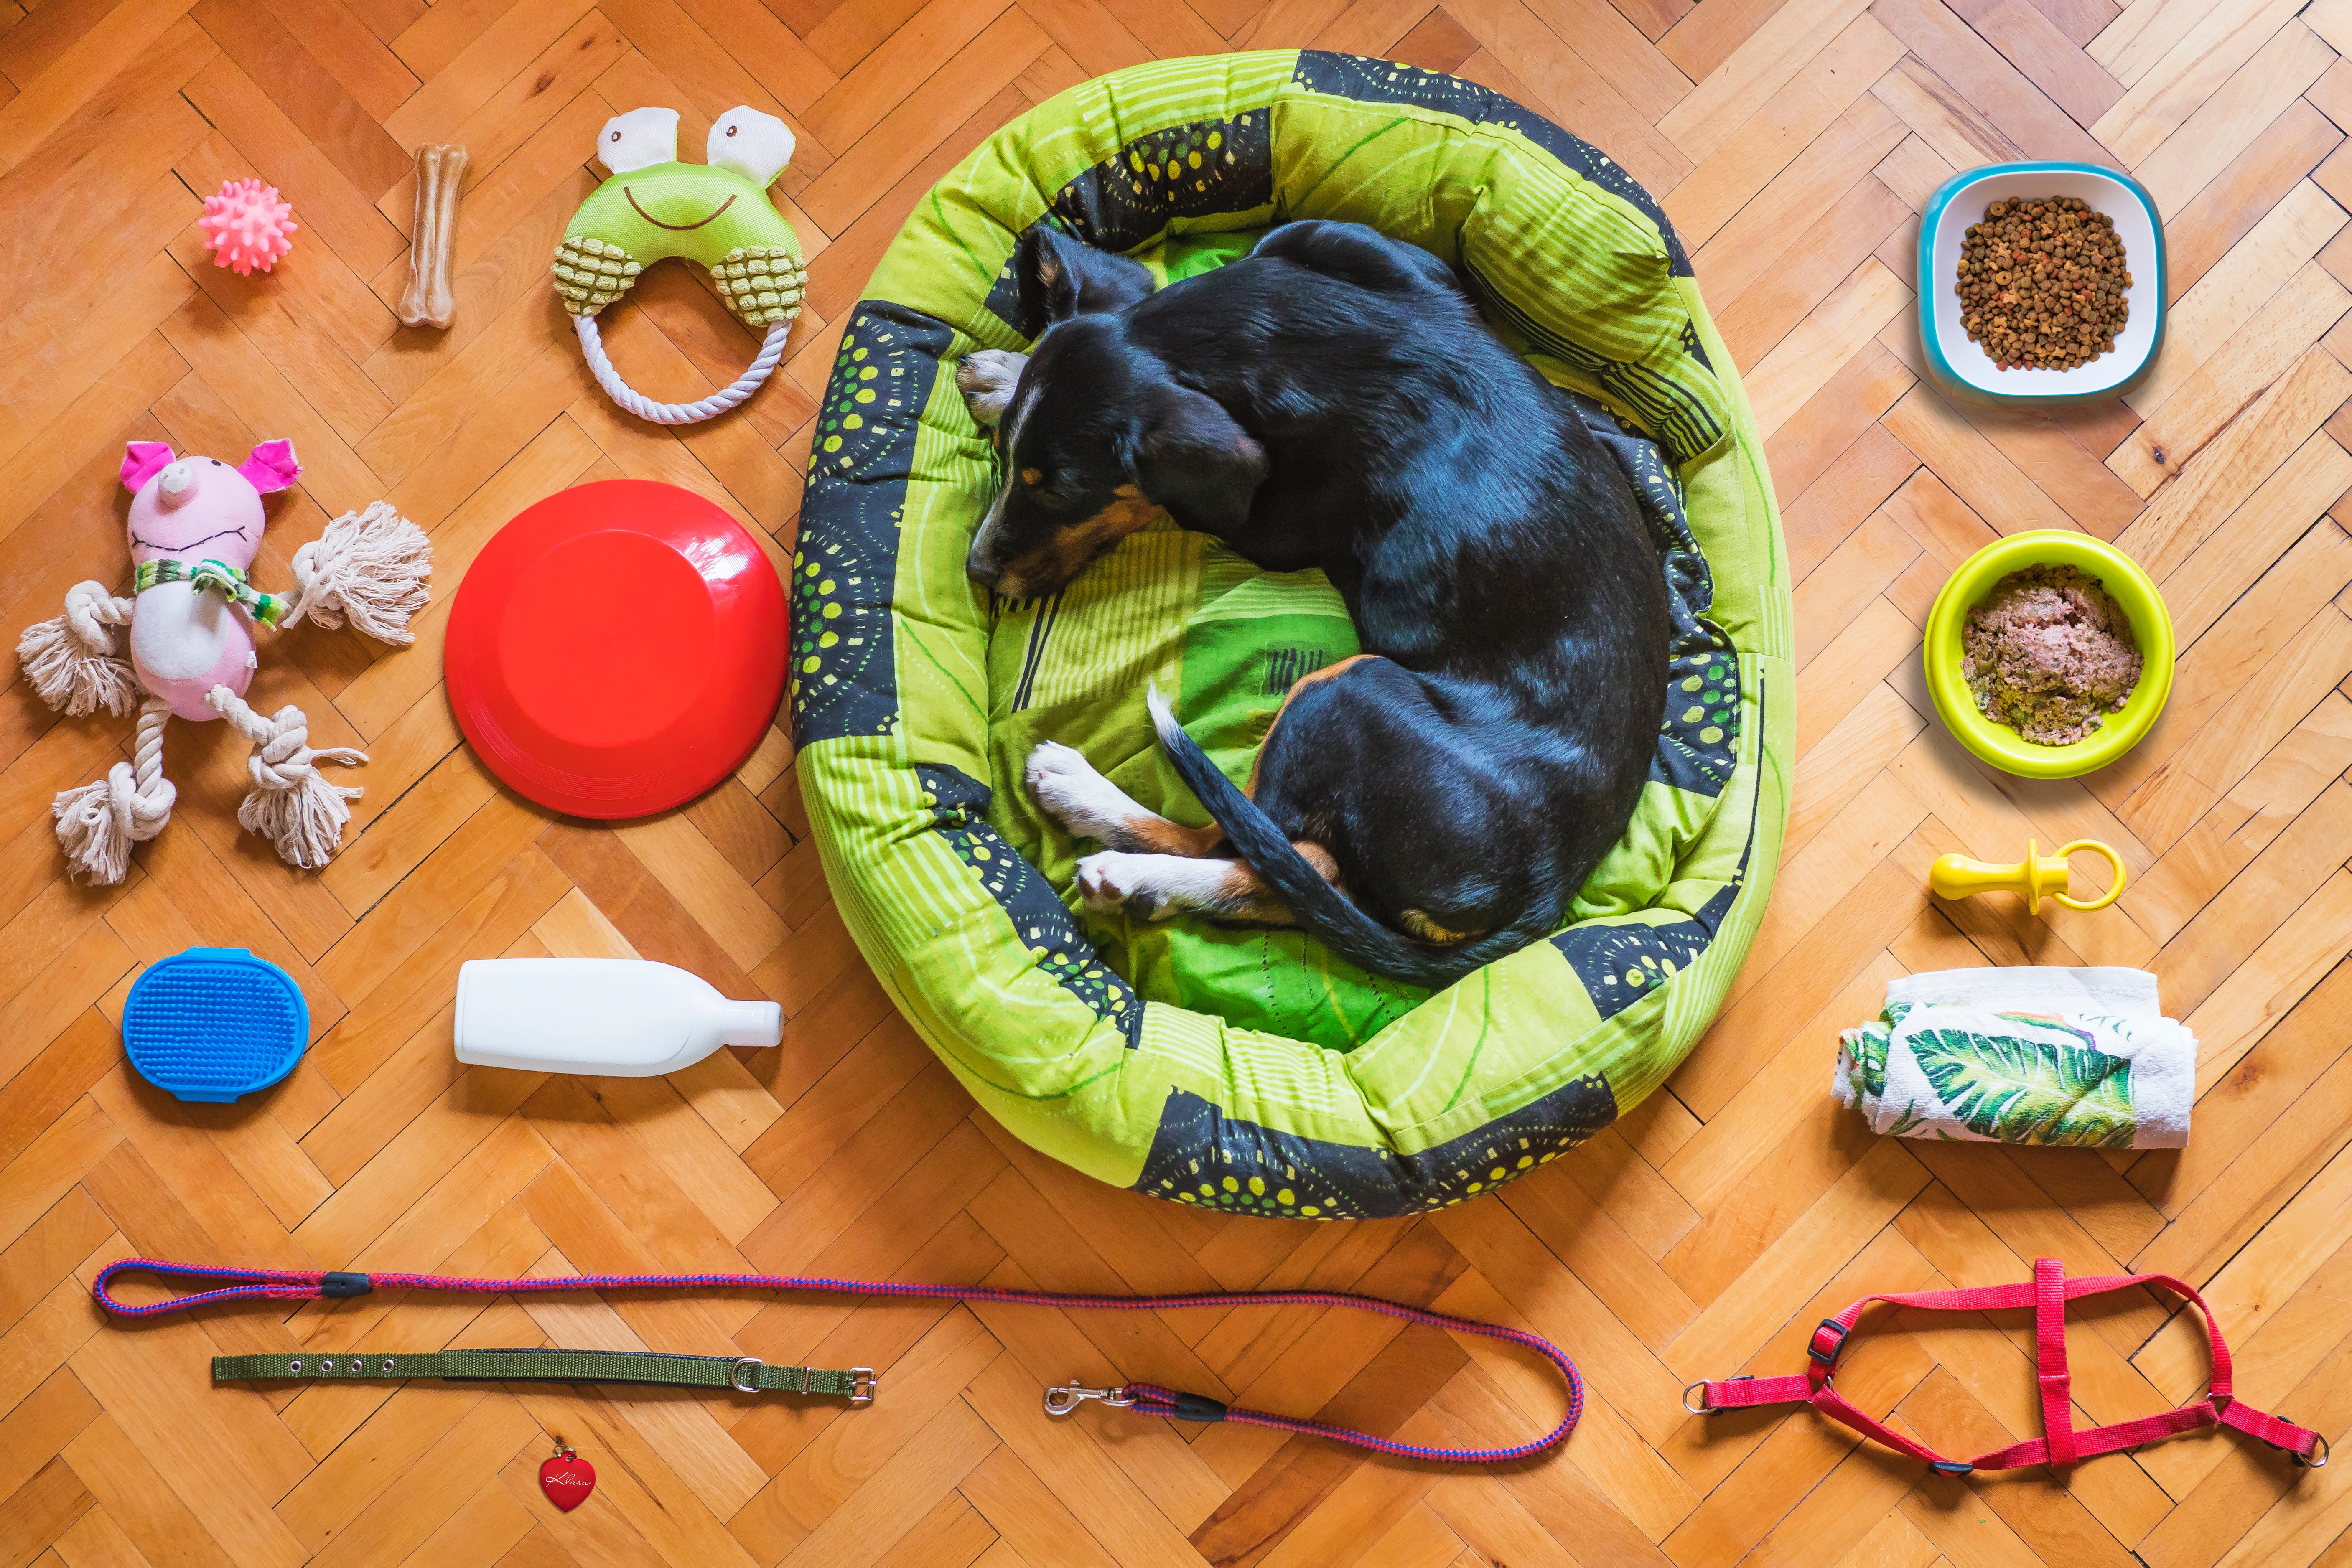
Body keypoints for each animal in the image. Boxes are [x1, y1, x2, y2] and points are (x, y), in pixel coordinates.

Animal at [960, 217, 1675, 992]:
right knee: (1298, 874)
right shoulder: (1363, 249)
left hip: (1343, 690)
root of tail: (1546, 888)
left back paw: (1097, 822)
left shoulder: (1266, 525)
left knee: (1238, 839)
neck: (1263, 340)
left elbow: (1168, 503)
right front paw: (1003, 377)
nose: (977, 569)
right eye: (1009, 462)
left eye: (1060, 489)